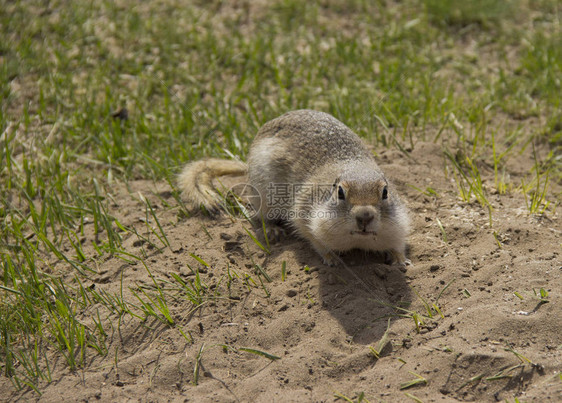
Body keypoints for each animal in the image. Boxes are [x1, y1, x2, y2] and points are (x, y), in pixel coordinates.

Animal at [177, 110, 410, 268]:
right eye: (340, 192)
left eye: (385, 192)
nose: (364, 217)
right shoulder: (306, 214)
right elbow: (315, 240)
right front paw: (332, 259)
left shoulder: (398, 225)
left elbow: (398, 243)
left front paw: (400, 260)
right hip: (264, 196)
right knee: (260, 217)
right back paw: (273, 230)